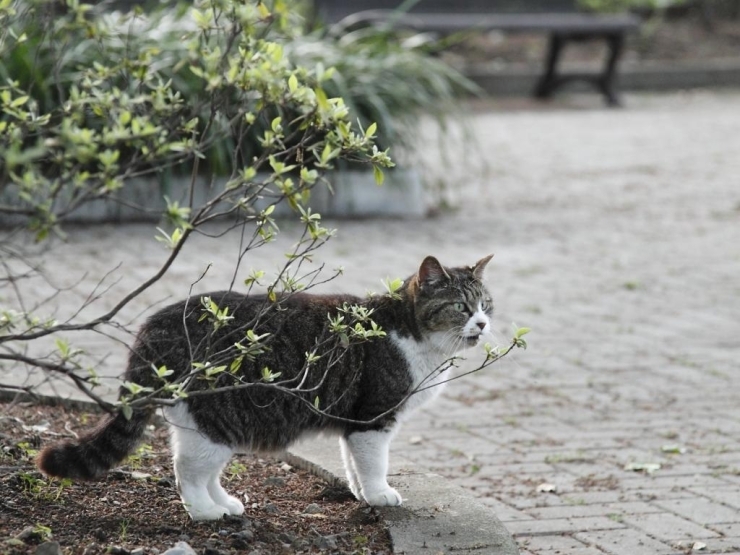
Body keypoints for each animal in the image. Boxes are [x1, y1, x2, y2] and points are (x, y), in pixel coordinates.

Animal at [37, 256, 494, 520]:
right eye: (461, 307)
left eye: (487, 304)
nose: (484, 323)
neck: (414, 334)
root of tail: (155, 322)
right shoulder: (374, 416)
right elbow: (373, 461)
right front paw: (380, 494)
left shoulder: (352, 420)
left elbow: (352, 462)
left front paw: (362, 494)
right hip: (220, 416)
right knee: (187, 469)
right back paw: (206, 513)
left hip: (202, 420)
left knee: (198, 466)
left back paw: (223, 504)